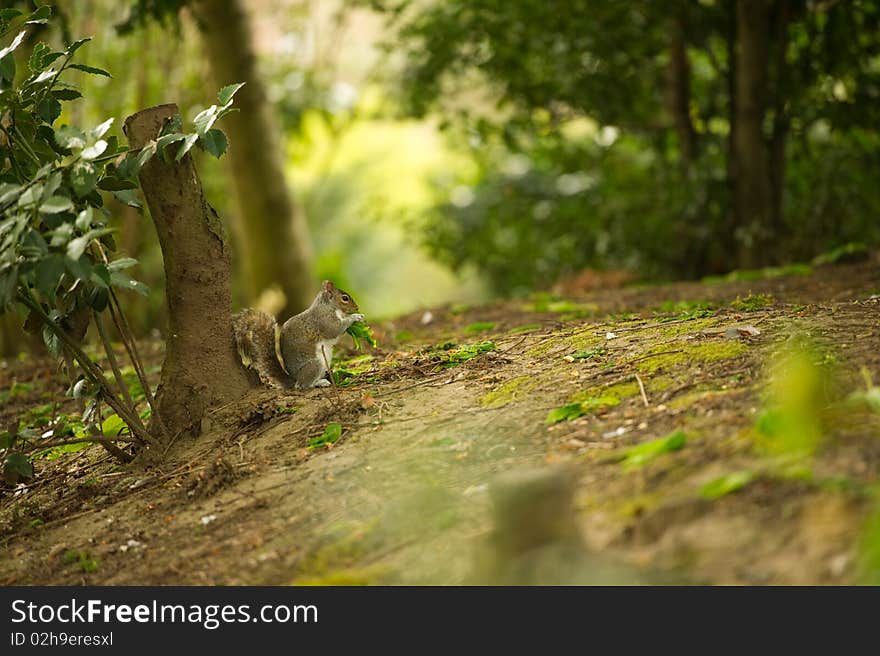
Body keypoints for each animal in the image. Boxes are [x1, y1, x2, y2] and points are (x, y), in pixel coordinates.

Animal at [230, 278, 364, 390]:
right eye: (345, 298)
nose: (357, 308)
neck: (327, 306)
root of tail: (294, 379)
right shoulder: (324, 320)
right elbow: (335, 329)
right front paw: (355, 317)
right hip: (314, 365)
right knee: (302, 385)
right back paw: (320, 383)